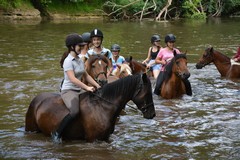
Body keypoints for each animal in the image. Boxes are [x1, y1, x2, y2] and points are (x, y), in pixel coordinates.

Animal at [24, 73, 156, 142]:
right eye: (148, 93)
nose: (152, 114)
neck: (102, 107)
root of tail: (37, 99)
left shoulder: (105, 138)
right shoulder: (93, 140)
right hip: (32, 129)